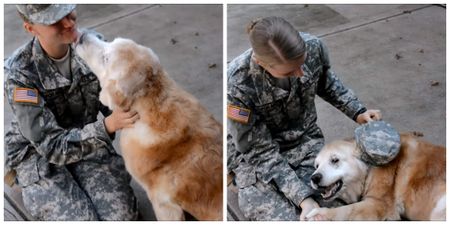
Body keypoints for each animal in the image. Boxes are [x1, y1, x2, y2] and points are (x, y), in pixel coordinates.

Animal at [306, 133, 446, 221]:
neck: (369, 169)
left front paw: (318, 214)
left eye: (335, 160)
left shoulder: (378, 204)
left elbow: (345, 210)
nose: (314, 178)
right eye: (316, 165)